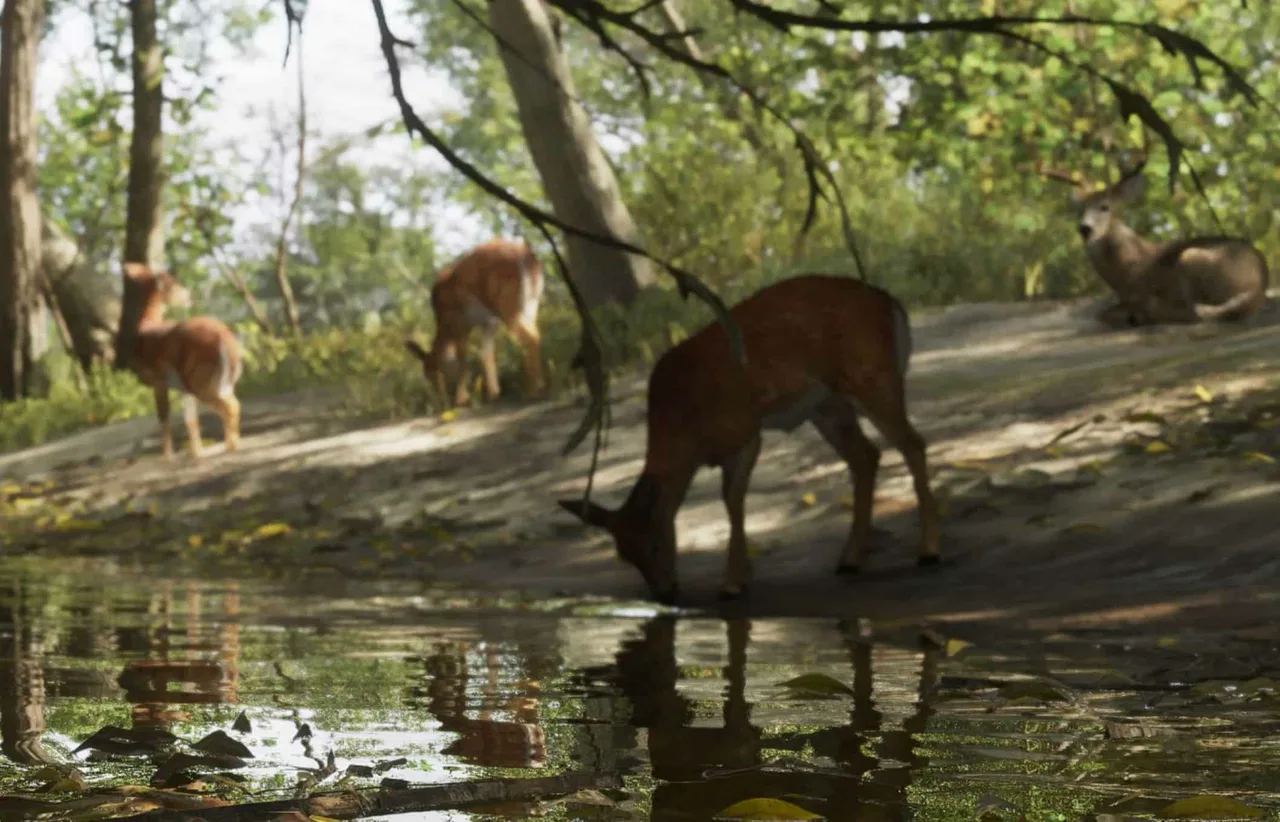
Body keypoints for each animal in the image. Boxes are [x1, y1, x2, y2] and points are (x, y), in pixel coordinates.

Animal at [123, 262, 243, 461]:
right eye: (173, 281)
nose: (188, 297)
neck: (145, 326)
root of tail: (225, 339)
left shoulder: (158, 381)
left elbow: (164, 417)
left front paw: (168, 457)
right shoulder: (179, 387)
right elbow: (190, 419)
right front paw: (192, 452)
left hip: (200, 380)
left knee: (231, 407)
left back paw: (229, 446)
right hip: (217, 381)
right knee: (232, 405)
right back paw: (226, 445)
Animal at [404, 239, 546, 408]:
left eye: (429, 372)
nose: (441, 402)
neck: (442, 322)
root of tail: (527, 256)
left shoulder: (459, 322)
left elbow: (463, 358)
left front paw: (461, 399)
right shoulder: (488, 322)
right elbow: (485, 353)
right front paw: (493, 394)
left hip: (508, 306)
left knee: (530, 338)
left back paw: (532, 392)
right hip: (530, 305)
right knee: (535, 335)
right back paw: (538, 388)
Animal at [557, 274, 941, 605]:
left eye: (654, 543)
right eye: (624, 554)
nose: (665, 594)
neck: (687, 429)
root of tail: (891, 304)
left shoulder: (744, 432)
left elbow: (732, 500)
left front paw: (732, 583)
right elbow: (732, 500)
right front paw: (744, 574)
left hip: (872, 376)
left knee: (912, 443)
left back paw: (928, 551)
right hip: (828, 404)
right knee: (866, 456)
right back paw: (849, 560)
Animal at [1040, 160, 1269, 326]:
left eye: (1104, 207)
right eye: (1079, 210)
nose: (1085, 229)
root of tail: (1258, 284)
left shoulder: (1141, 290)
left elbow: (1105, 313)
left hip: (1191, 257)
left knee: (1196, 313)